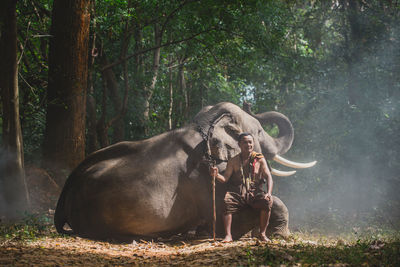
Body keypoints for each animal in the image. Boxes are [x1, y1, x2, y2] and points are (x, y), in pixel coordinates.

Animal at [54, 101, 316, 242]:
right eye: (260, 131)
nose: (250, 104)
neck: (203, 125)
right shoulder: (202, 178)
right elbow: (232, 215)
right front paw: (280, 235)